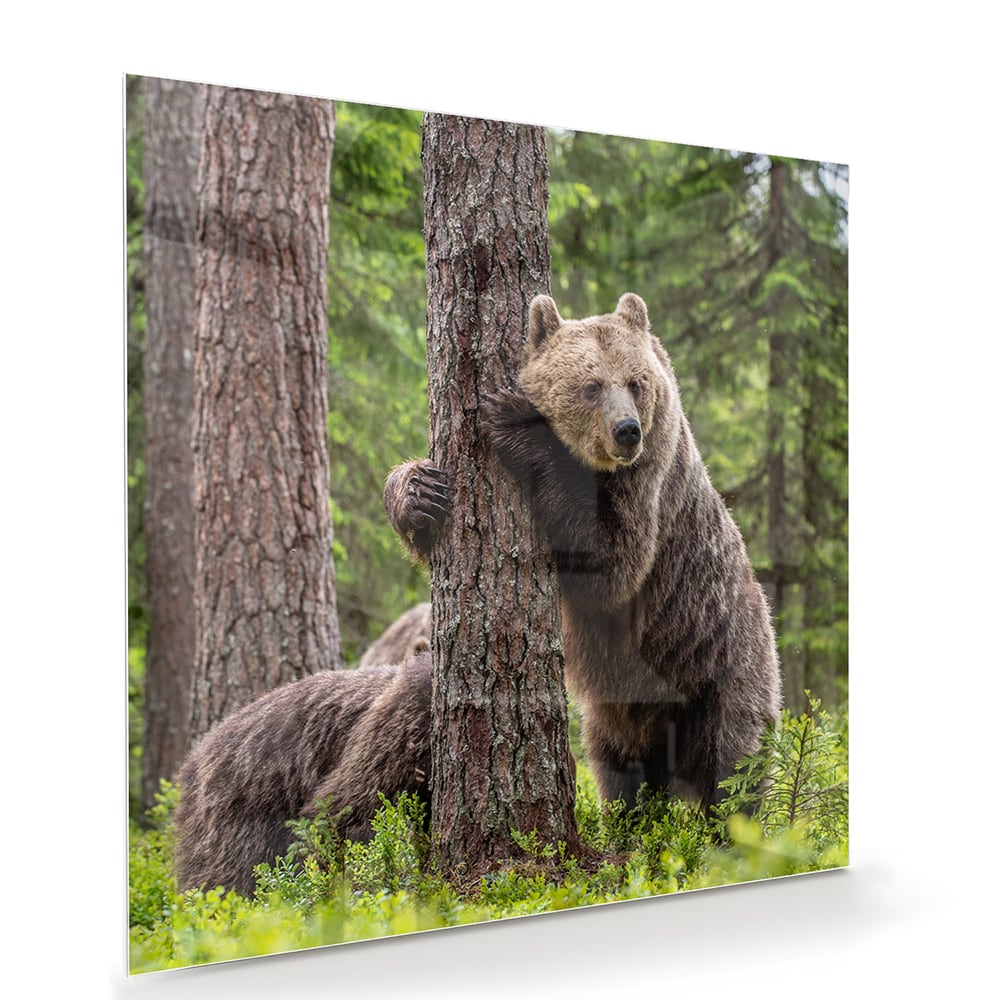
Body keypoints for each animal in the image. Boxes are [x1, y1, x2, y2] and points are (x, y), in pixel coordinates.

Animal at [384, 292, 782, 811]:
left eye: (635, 382)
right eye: (591, 386)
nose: (627, 430)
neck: (601, 468)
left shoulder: (649, 487)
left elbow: (611, 560)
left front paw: (514, 418)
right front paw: (421, 494)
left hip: (722, 663)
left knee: (732, 765)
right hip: (620, 708)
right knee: (621, 769)